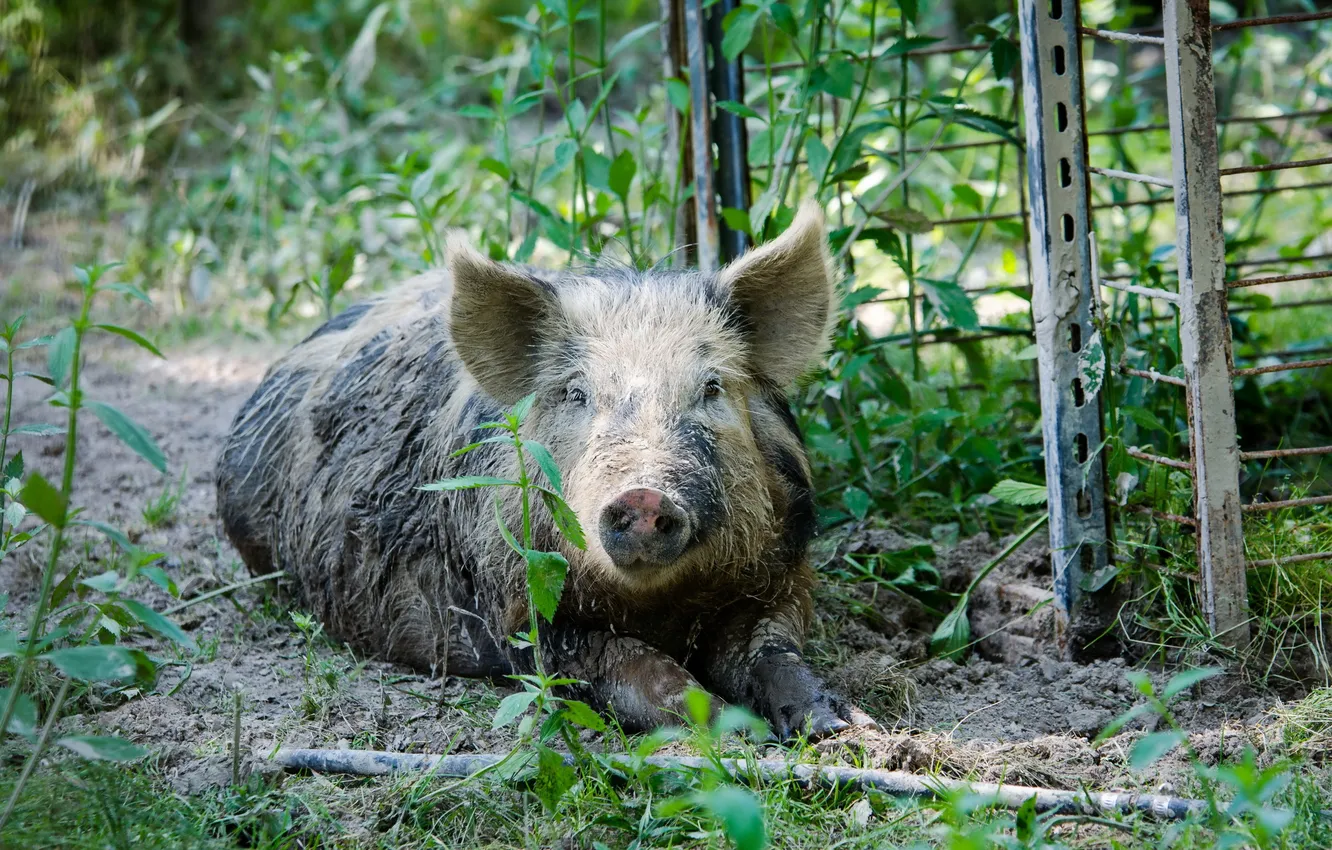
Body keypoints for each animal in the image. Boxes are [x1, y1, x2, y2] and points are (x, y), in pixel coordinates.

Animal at [214, 201, 868, 740]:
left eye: (711, 388)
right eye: (576, 394)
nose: (645, 494)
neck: (661, 605)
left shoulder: (784, 575)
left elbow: (772, 651)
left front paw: (841, 727)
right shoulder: (520, 612)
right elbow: (636, 669)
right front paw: (733, 730)